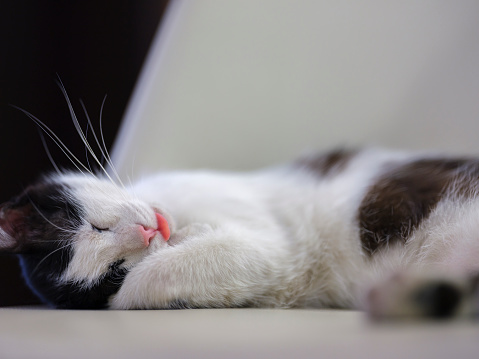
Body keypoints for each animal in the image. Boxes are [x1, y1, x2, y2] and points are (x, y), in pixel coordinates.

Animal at [0, 142, 479, 320]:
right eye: (115, 268)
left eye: (95, 226)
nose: (147, 233)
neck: (181, 222)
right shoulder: (270, 261)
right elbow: (144, 284)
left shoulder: (275, 244)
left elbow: (155, 274)